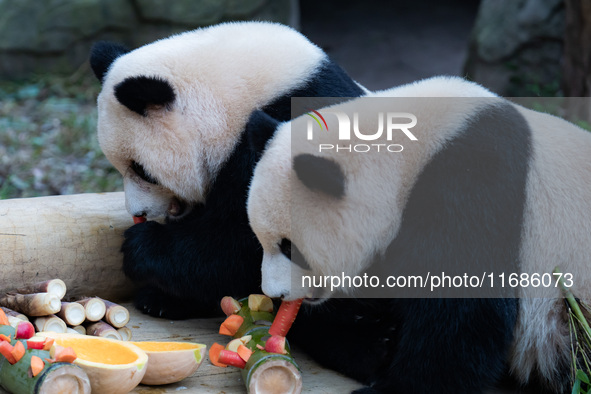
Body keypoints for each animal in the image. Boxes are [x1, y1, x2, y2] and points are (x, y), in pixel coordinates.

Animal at [247, 75, 591, 392]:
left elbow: (464, 303)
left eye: (289, 248)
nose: (274, 293)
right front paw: (374, 346)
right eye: (261, 240)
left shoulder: (474, 179)